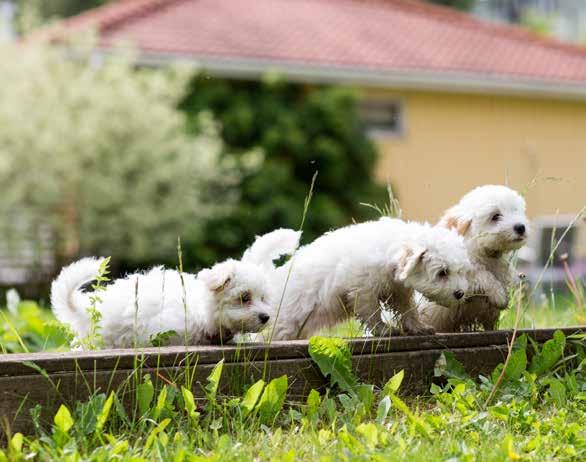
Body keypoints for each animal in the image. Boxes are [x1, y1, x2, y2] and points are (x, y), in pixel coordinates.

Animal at [262, 217, 472, 340]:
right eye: (442, 272)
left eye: (462, 271)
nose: (460, 294)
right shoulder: (362, 289)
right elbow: (371, 312)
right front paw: (384, 330)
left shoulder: (398, 290)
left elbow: (408, 309)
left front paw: (418, 327)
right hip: (284, 326)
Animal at [418, 184, 528, 332]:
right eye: (495, 216)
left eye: (516, 211)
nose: (521, 227)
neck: (484, 251)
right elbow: (482, 274)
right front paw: (499, 295)